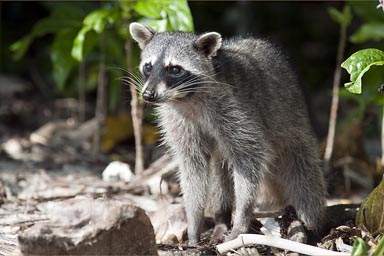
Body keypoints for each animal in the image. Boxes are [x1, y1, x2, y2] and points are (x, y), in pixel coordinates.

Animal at [130, 22, 328, 244]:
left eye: (174, 69)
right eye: (148, 66)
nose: (148, 95)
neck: (186, 98)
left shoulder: (236, 110)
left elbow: (249, 159)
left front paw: (242, 218)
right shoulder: (179, 122)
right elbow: (193, 167)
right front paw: (194, 222)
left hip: (291, 127)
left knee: (304, 177)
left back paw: (313, 225)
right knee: (219, 172)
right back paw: (221, 218)